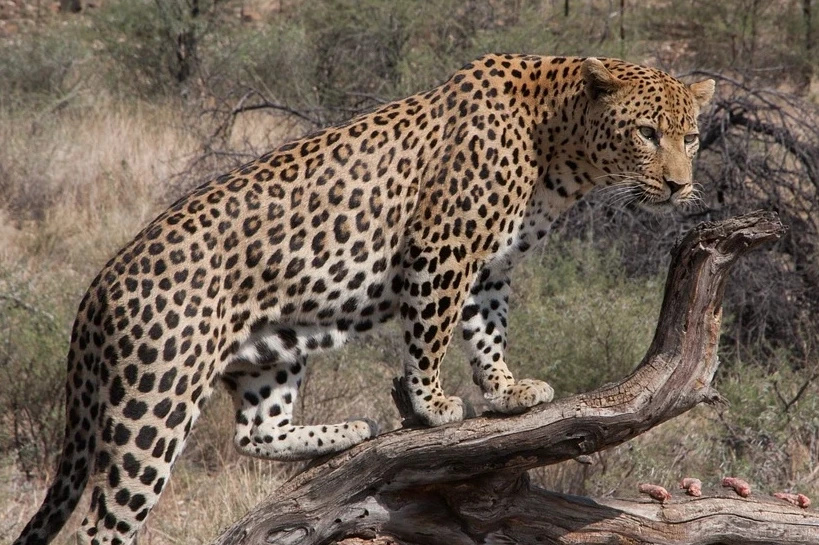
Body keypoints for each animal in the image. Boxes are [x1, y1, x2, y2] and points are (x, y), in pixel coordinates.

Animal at [15, 54, 714, 545]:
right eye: (647, 133)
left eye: (692, 138)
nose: (680, 187)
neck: (559, 148)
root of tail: (100, 282)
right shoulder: (442, 245)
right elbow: (431, 330)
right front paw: (433, 406)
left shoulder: (488, 266)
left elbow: (487, 331)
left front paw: (506, 390)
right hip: (155, 400)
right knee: (107, 520)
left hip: (271, 352)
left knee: (256, 432)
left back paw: (347, 431)